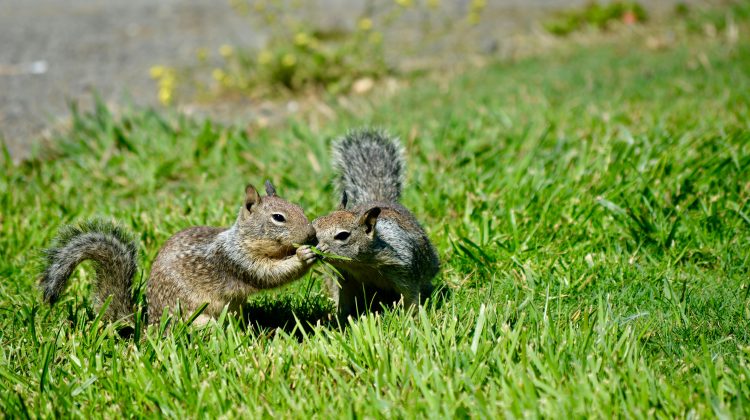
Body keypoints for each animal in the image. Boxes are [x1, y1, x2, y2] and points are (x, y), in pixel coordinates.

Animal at [40, 181, 318, 326]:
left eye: (299, 207)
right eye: (278, 217)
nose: (311, 235)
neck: (242, 239)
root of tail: (150, 327)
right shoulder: (237, 261)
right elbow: (269, 274)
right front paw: (304, 256)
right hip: (197, 318)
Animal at [313, 129, 440, 321]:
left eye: (343, 235)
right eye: (314, 224)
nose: (317, 249)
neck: (360, 264)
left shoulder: (405, 270)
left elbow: (410, 297)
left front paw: (410, 319)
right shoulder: (344, 278)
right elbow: (343, 301)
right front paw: (337, 318)